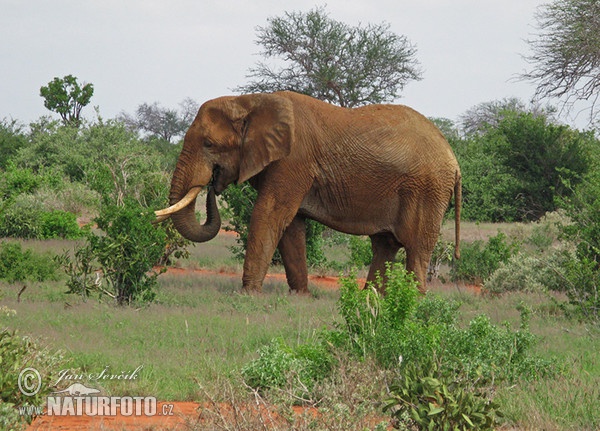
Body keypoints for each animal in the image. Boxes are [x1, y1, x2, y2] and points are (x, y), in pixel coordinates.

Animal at [154, 90, 460, 294]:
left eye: (208, 144)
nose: (213, 185)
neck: (250, 101)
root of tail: (454, 160)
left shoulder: (292, 161)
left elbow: (269, 213)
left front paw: (248, 294)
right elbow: (291, 227)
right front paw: (300, 295)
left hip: (427, 189)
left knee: (416, 249)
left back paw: (411, 302)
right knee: (384, 245)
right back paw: (372, 299)